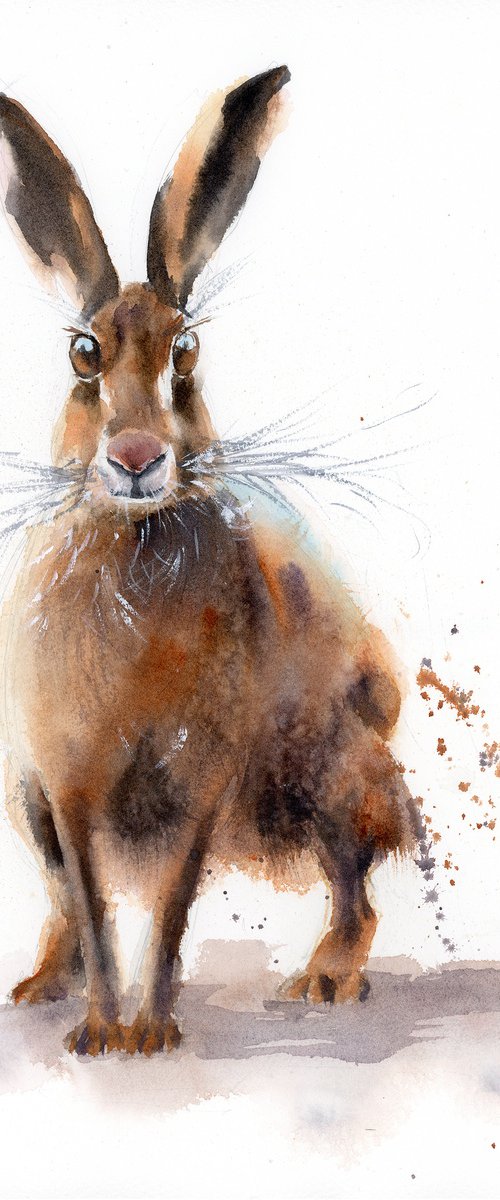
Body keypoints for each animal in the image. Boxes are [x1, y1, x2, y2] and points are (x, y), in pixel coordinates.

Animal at [0, 67, 422, 1056]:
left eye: (187, 348)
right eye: (83, 353)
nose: (136, 457)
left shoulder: (201, 781)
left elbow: (172, 910)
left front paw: (149, 1033)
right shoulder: (64, 786)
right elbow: (92, 905)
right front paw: (99, 1032)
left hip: (327, 773)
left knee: (355, 881)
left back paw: (328, 979)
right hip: (32, 801)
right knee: (65, 906)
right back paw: (38, 986)